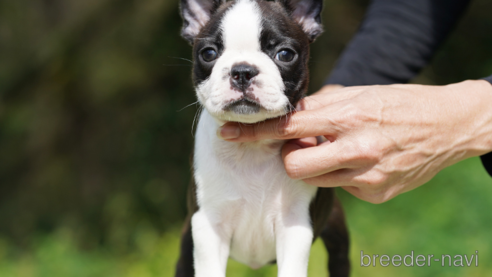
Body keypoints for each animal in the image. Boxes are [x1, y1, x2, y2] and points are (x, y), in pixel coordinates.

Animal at [176, 0, 350, 276]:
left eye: (285, 54)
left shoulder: (295, 224)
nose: (242, 71)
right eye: (209, 53)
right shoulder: (208, 225)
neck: (252, 146)